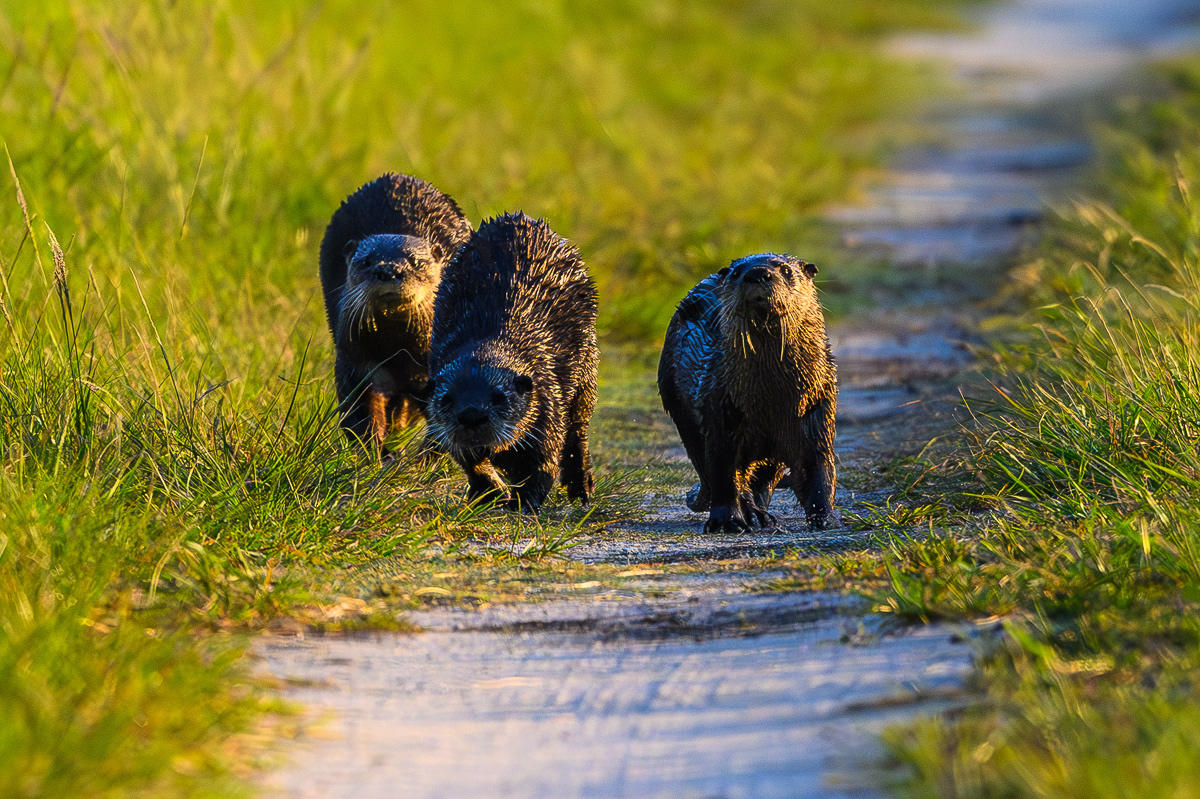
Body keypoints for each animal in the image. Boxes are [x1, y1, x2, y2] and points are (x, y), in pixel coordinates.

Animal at [318, 173, 472, 454]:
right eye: (366, 261)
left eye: (416, 262)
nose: (389, 270)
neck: (400, 356)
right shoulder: (360, 367)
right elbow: (362, 417)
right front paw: (378, 453)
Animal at [425, 213, 598, 512]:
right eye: (446, 399)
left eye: (499, 397)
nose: (472, 416)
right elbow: (472, 463)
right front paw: (493, 493)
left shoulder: (548, 401)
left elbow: (545, 463)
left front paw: (524, 503)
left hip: (587, 364)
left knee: (578, 427)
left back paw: (581, 485)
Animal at [658, 253, 838, 531]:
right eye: (735, 273)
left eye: (786, 271)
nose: (757, 273)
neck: (771, 398)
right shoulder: (721, 403)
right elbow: (725, 470)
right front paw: (727, 521)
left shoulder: (817, 405)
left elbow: (817, 466)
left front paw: (824, 518)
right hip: (677, 404)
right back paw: (752, 514)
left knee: (764, 477)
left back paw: (761, 514)